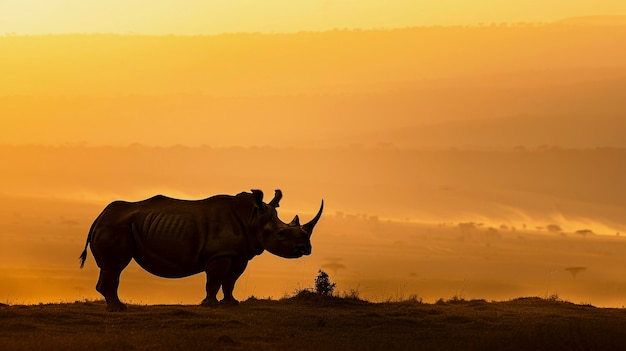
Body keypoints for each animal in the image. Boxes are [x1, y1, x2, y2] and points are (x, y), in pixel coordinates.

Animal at [78, 191, 322, 312]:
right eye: (281, 233)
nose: (306, 249)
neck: (253, 218)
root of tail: (98, 217)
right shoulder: (219, 254)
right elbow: (214, 280)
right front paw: (210, 305)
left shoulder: (238, 255)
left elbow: (230, 281)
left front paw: (231, 304)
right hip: (114, 225)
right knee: (115, 267)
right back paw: (119, 309)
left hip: (115, 224)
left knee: (111, 268)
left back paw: (116, 307)